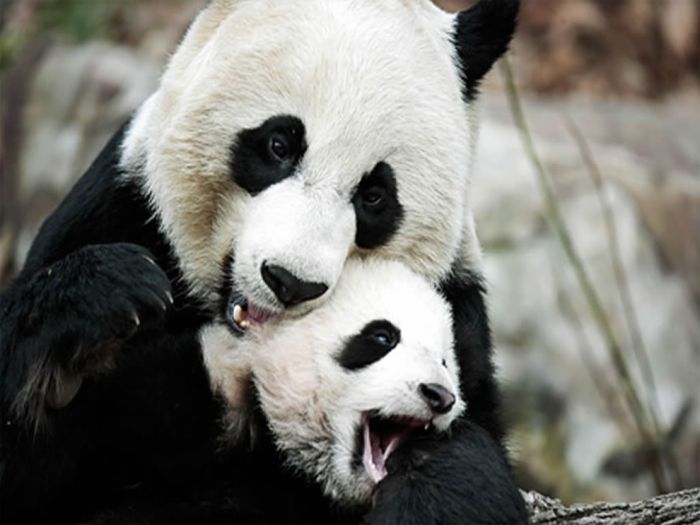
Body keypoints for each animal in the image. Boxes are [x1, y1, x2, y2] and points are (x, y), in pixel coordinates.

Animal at [0, 0, 520, 520]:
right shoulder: (120, 207)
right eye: (279, 145)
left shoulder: (463, 312)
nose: (290, 282)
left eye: (375, 195)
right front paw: (106, 296)